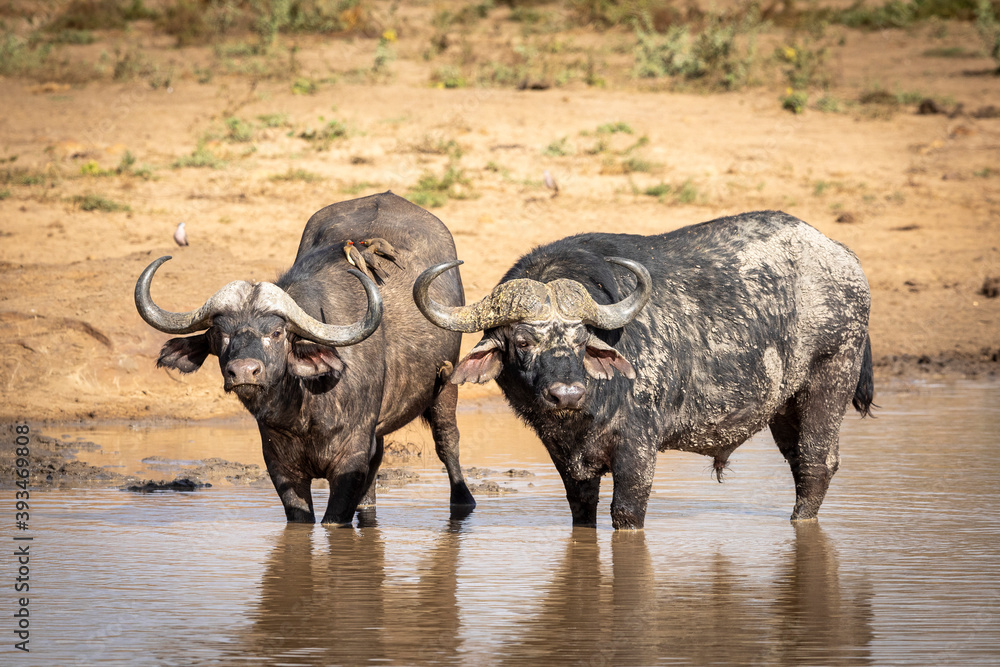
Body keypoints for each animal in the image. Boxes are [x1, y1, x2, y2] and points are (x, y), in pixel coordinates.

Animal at [135, 192, 475, 524]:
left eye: (277, 333)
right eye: (220, 333)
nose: (243, 371)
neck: (303, 411)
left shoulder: (349, 460)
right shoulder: (280, 466)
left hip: (446, 385)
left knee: (447, 442)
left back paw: (464, 500)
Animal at [416, 211, 872, 529]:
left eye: (582, 338)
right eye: (523, 342)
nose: (566, 394)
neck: (584, 414)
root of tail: (843, 257)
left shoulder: (637, 448)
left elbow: (626, 512)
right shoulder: (565, 459)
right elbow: (582, 510)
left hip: (831, 377)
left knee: (816, 463)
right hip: (784, 407)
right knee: (799, 462)